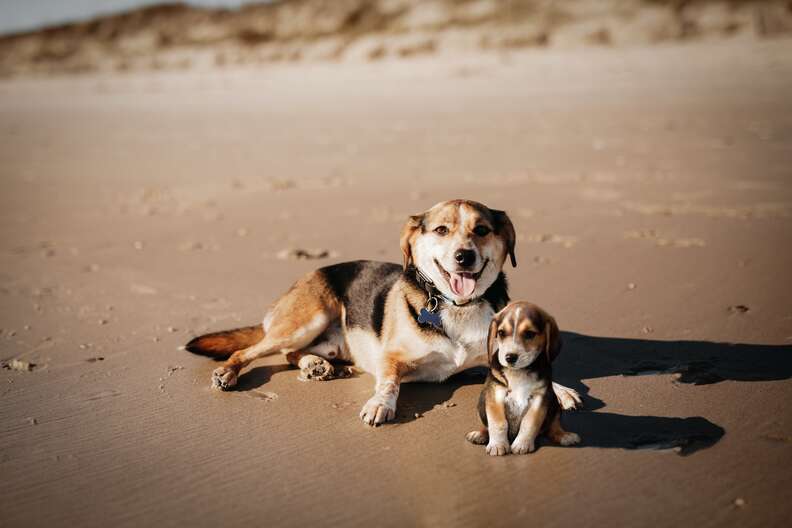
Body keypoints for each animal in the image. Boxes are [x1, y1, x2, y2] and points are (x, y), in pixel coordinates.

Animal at [184, 198, 580, 424]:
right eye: (441, 230)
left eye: (481, 230)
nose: (463, 257)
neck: (455, 307)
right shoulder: (391, 358)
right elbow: (388, 383)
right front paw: (380, 405)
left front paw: (560, 390)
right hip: (307, 319)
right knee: (253, 350)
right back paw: (230, 373)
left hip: (325, 340)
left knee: (292, 353)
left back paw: (316, 365)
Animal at [464, 304, 580, 456]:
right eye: (501, 333)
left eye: (529, 334)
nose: (510, 357)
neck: (518, 372)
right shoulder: (495, 394)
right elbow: (498, 423)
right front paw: (497, 445)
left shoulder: (540, 397)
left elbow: (529, 423)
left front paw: (522, 444)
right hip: (482, 402)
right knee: (487, 425)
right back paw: (480, 434)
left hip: (554, 404)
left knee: (553, 426)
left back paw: (564, 436)